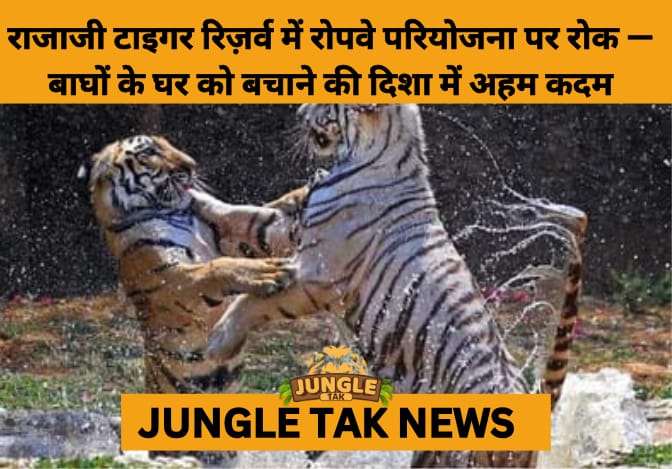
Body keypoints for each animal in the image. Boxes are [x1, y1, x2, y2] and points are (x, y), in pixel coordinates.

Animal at [81, 134, 307, 398]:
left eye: (169, 144)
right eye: (149, 152)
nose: (192, 166)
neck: (177, 212)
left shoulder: (235, 229)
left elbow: (265, 221)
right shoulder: (172, 280)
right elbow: (215, 268)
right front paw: (267, 272)